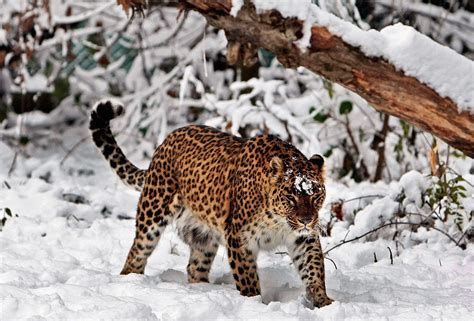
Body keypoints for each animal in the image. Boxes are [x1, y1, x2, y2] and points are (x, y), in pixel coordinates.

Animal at [89, 98, 334, 308]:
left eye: (315, 196)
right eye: (290, 198)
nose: (306, 220)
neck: (278, 220)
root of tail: (166, 141)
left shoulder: (304, 238)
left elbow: (314, 269)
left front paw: (322, 301)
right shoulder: (239, 239)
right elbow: (248, 279)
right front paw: (255, 304)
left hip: (202, 237)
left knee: (194, 268)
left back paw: (200, 291)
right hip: (153, 213)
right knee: (136, 253)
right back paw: (132, 282)